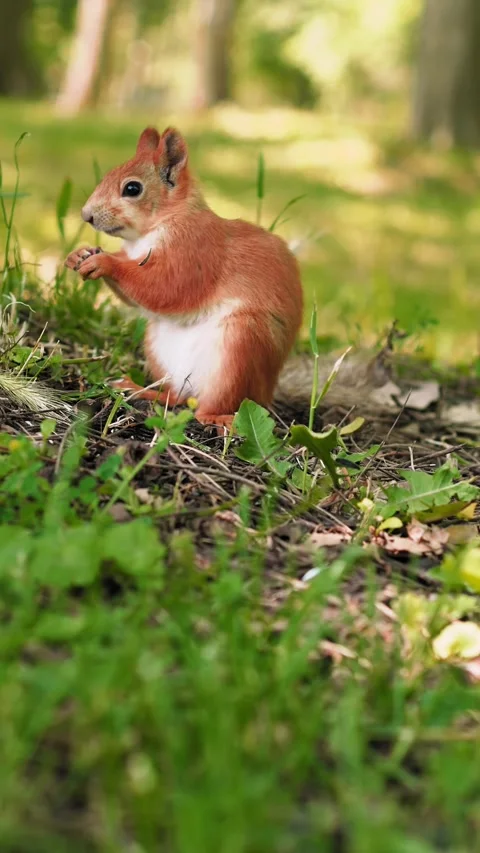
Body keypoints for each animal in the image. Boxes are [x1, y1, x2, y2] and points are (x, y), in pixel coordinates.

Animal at [65, 126, 304, 430]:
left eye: (132, 189)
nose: (86, 215)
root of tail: (266, 393)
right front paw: (80, 254)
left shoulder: (195, 253)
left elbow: (165, 288)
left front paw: (103, 261)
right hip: (158, 347)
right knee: (177, 396)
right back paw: (139, 389)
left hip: (240, 346)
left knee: (211, 405)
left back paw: (218, 418)